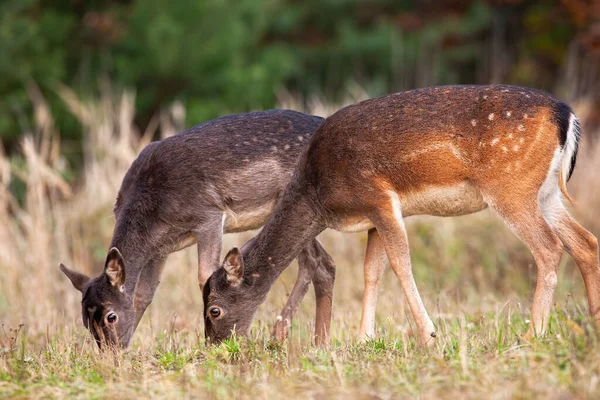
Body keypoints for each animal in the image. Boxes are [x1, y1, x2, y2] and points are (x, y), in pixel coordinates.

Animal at [59, 108, 340, 346]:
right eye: (85, 322)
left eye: (111, 316)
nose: (111, 352)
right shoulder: (161, 248)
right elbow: (144, 294)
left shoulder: (209, 215)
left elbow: (204, 275)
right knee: (320, 262)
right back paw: (309, 340)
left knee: (318, 261)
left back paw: (292, 338)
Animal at [203, 85, 600, 346]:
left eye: (214, 310)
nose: (216, 346)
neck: (318, 195)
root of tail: (567, 115)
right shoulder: (374, 217)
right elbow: (371, 270)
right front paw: (365, 339)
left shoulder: (378, 197)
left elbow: (400, 263)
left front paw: (428, 335)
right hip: (546, 193)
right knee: (586, 242)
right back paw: (593, 322)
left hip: (510, 185)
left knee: (549, 247)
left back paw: (534, 333)